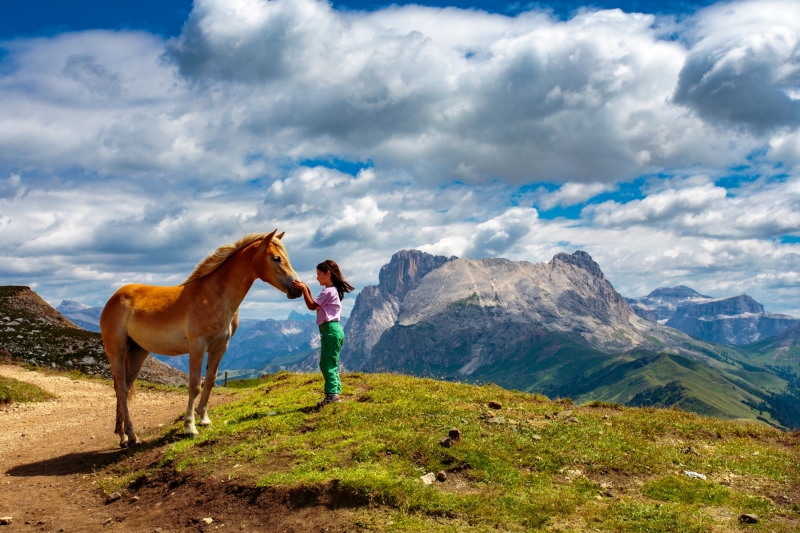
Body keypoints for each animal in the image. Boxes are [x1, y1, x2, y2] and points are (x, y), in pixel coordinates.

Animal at [99, 229, 300, 444]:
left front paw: (204, 419)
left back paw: (123, 435)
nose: (297, 287)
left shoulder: (220, 347)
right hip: (117, 351)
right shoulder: (198, 346)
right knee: (121, 389)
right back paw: (131, 435)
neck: (213, 295)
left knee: (124, 388)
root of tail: (114, 298)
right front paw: (190, 427)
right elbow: (195, 385)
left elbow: (210, 381)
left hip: (138, 352)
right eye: (276, 258)